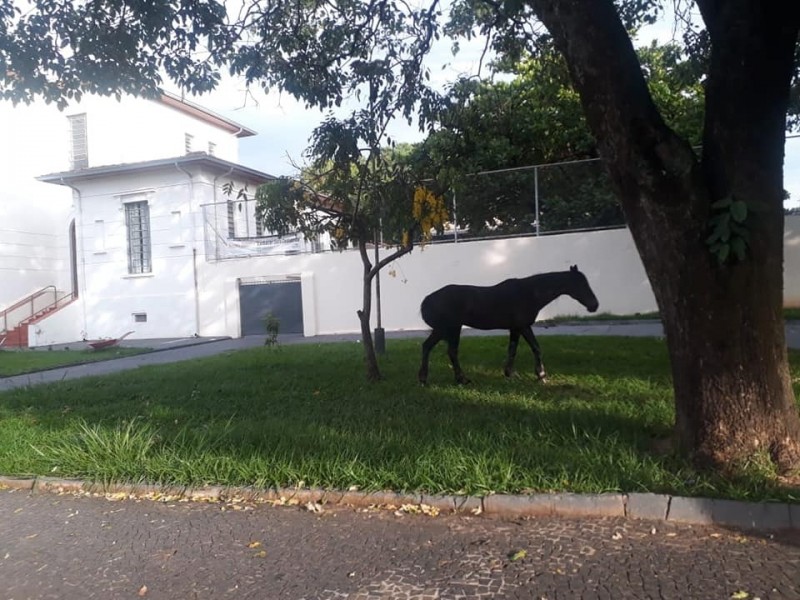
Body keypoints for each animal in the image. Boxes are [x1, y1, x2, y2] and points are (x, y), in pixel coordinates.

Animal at [418, 266, 600, 384]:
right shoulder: (524, 327)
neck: (529, 293)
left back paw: (429, 378)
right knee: (446, 351)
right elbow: (536, 348)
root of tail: (427, 300)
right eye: (580, 284)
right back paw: (456, 379)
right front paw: (541, 375)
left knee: (433, 348)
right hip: (450, 329)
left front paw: (510, 374)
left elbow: (512, 350)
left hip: (447, 330)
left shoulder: (516, 328)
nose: (594, 305)